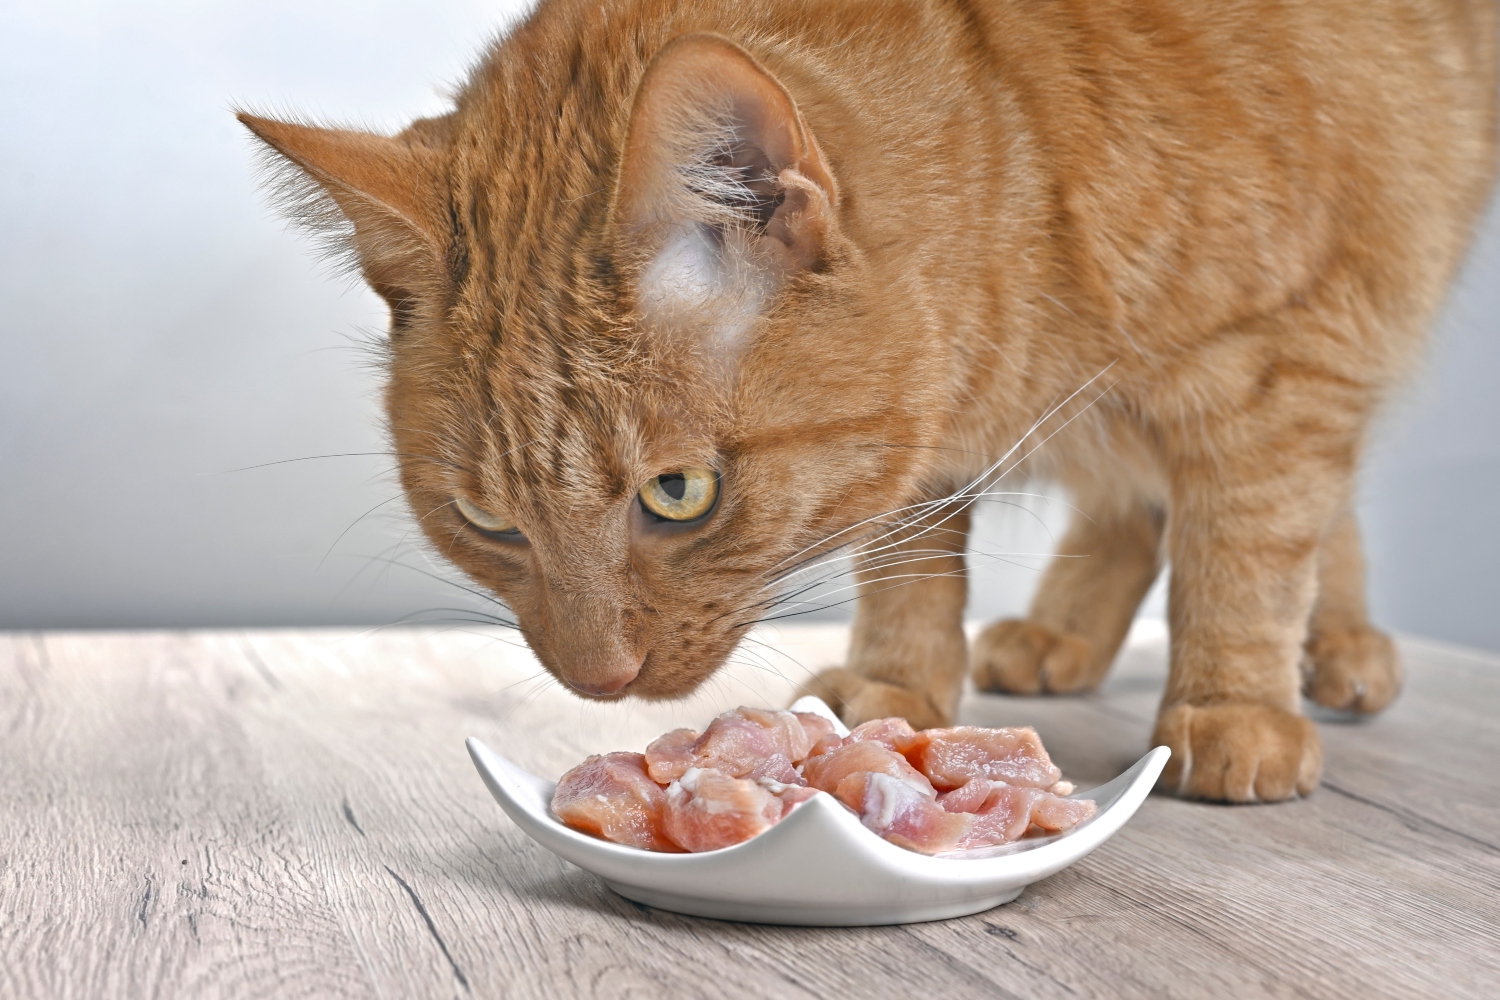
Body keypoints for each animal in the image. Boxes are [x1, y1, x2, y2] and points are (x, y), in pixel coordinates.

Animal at [240, 0, 1494, 803]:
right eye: (487, 522)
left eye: (679, 493)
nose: (597, 683)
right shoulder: (925, 441)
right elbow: (907, 560)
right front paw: (897, 687)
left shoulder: (1287, 347)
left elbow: (1248, 546)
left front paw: (1234, 706)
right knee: (1136, 497)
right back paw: (1062, 630)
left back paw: (1338, 644)